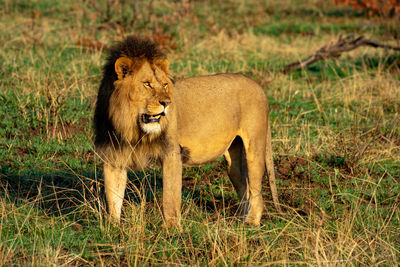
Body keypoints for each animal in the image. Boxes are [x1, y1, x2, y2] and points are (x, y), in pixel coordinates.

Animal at [94, 35, 282, 227]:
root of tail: (259, 86)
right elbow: (113, 198)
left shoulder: (172, 153)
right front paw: (112, 228)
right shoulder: (113, 156)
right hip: (234, 160)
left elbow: (170, 197)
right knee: (245, 187)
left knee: (257, 191)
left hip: (255, 148)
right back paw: (239, 221)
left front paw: (171, 229)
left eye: (164, 85)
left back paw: (250, 223)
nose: (167, 103)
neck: (132, 128)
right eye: (147, 84)